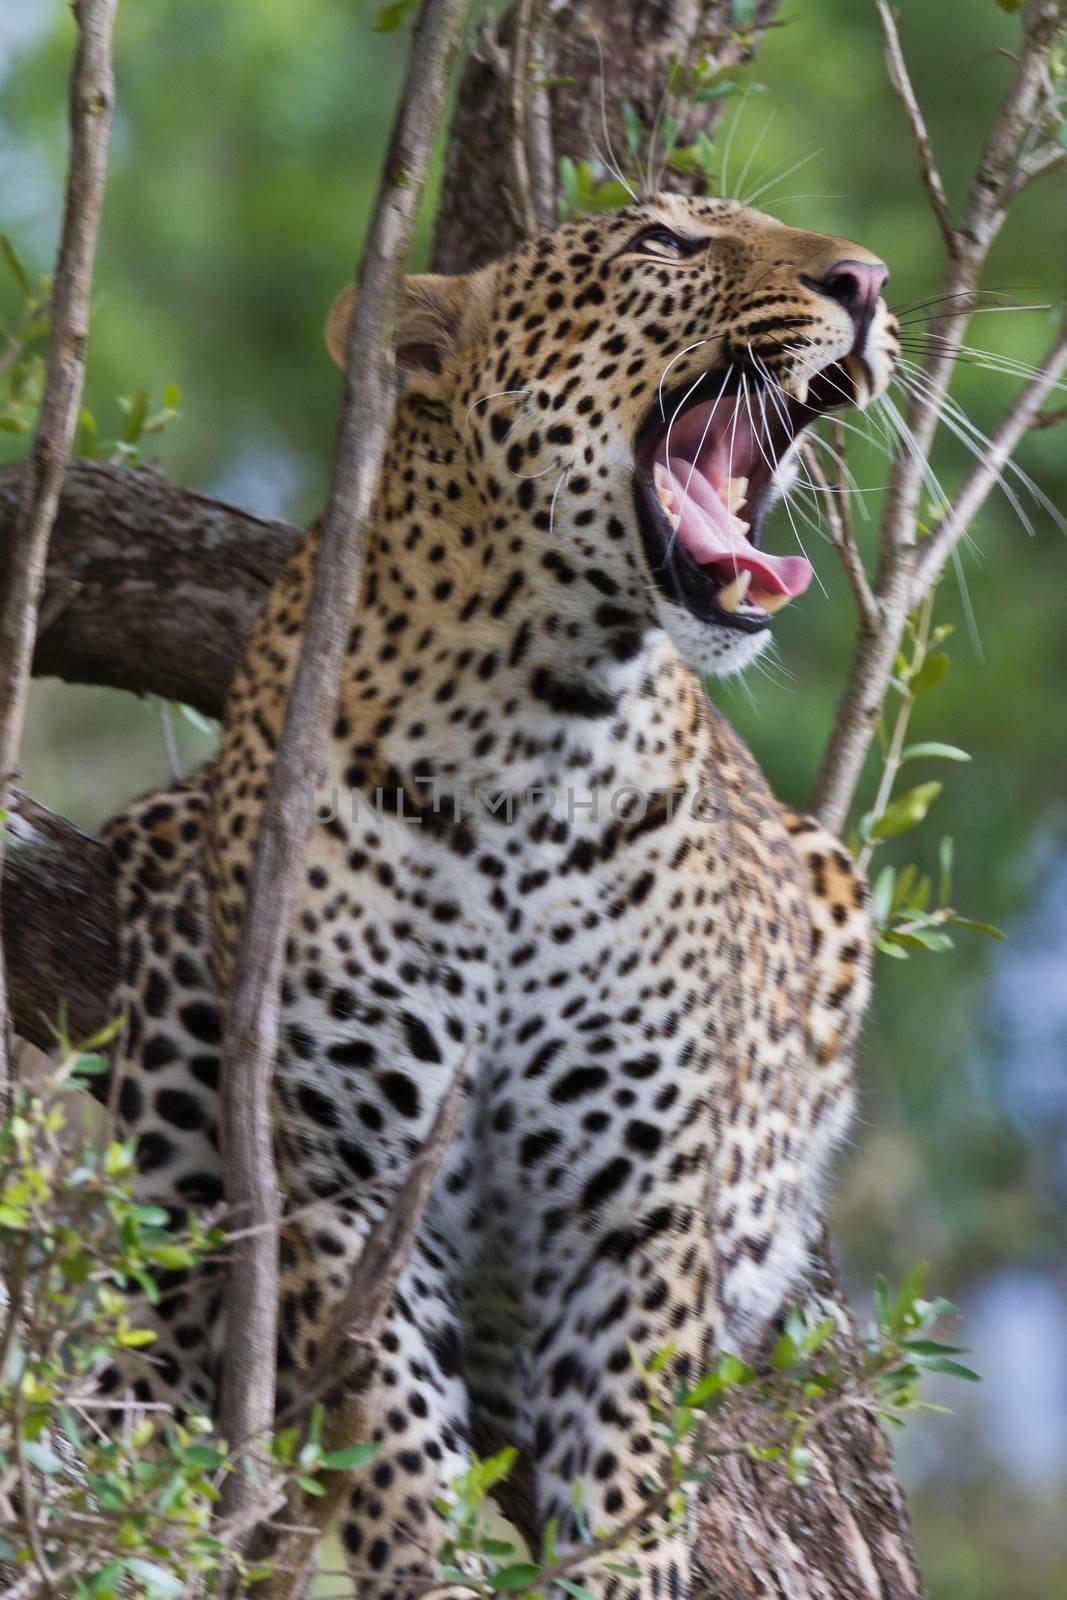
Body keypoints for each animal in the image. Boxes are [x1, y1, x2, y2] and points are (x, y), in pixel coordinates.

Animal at [99, 196, 895, 1600]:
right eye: (661, 243)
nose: (864, 281)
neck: (542, 724)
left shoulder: (625, 1219)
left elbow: (624, 1485)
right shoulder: (351, 1185)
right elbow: (402, 1455)